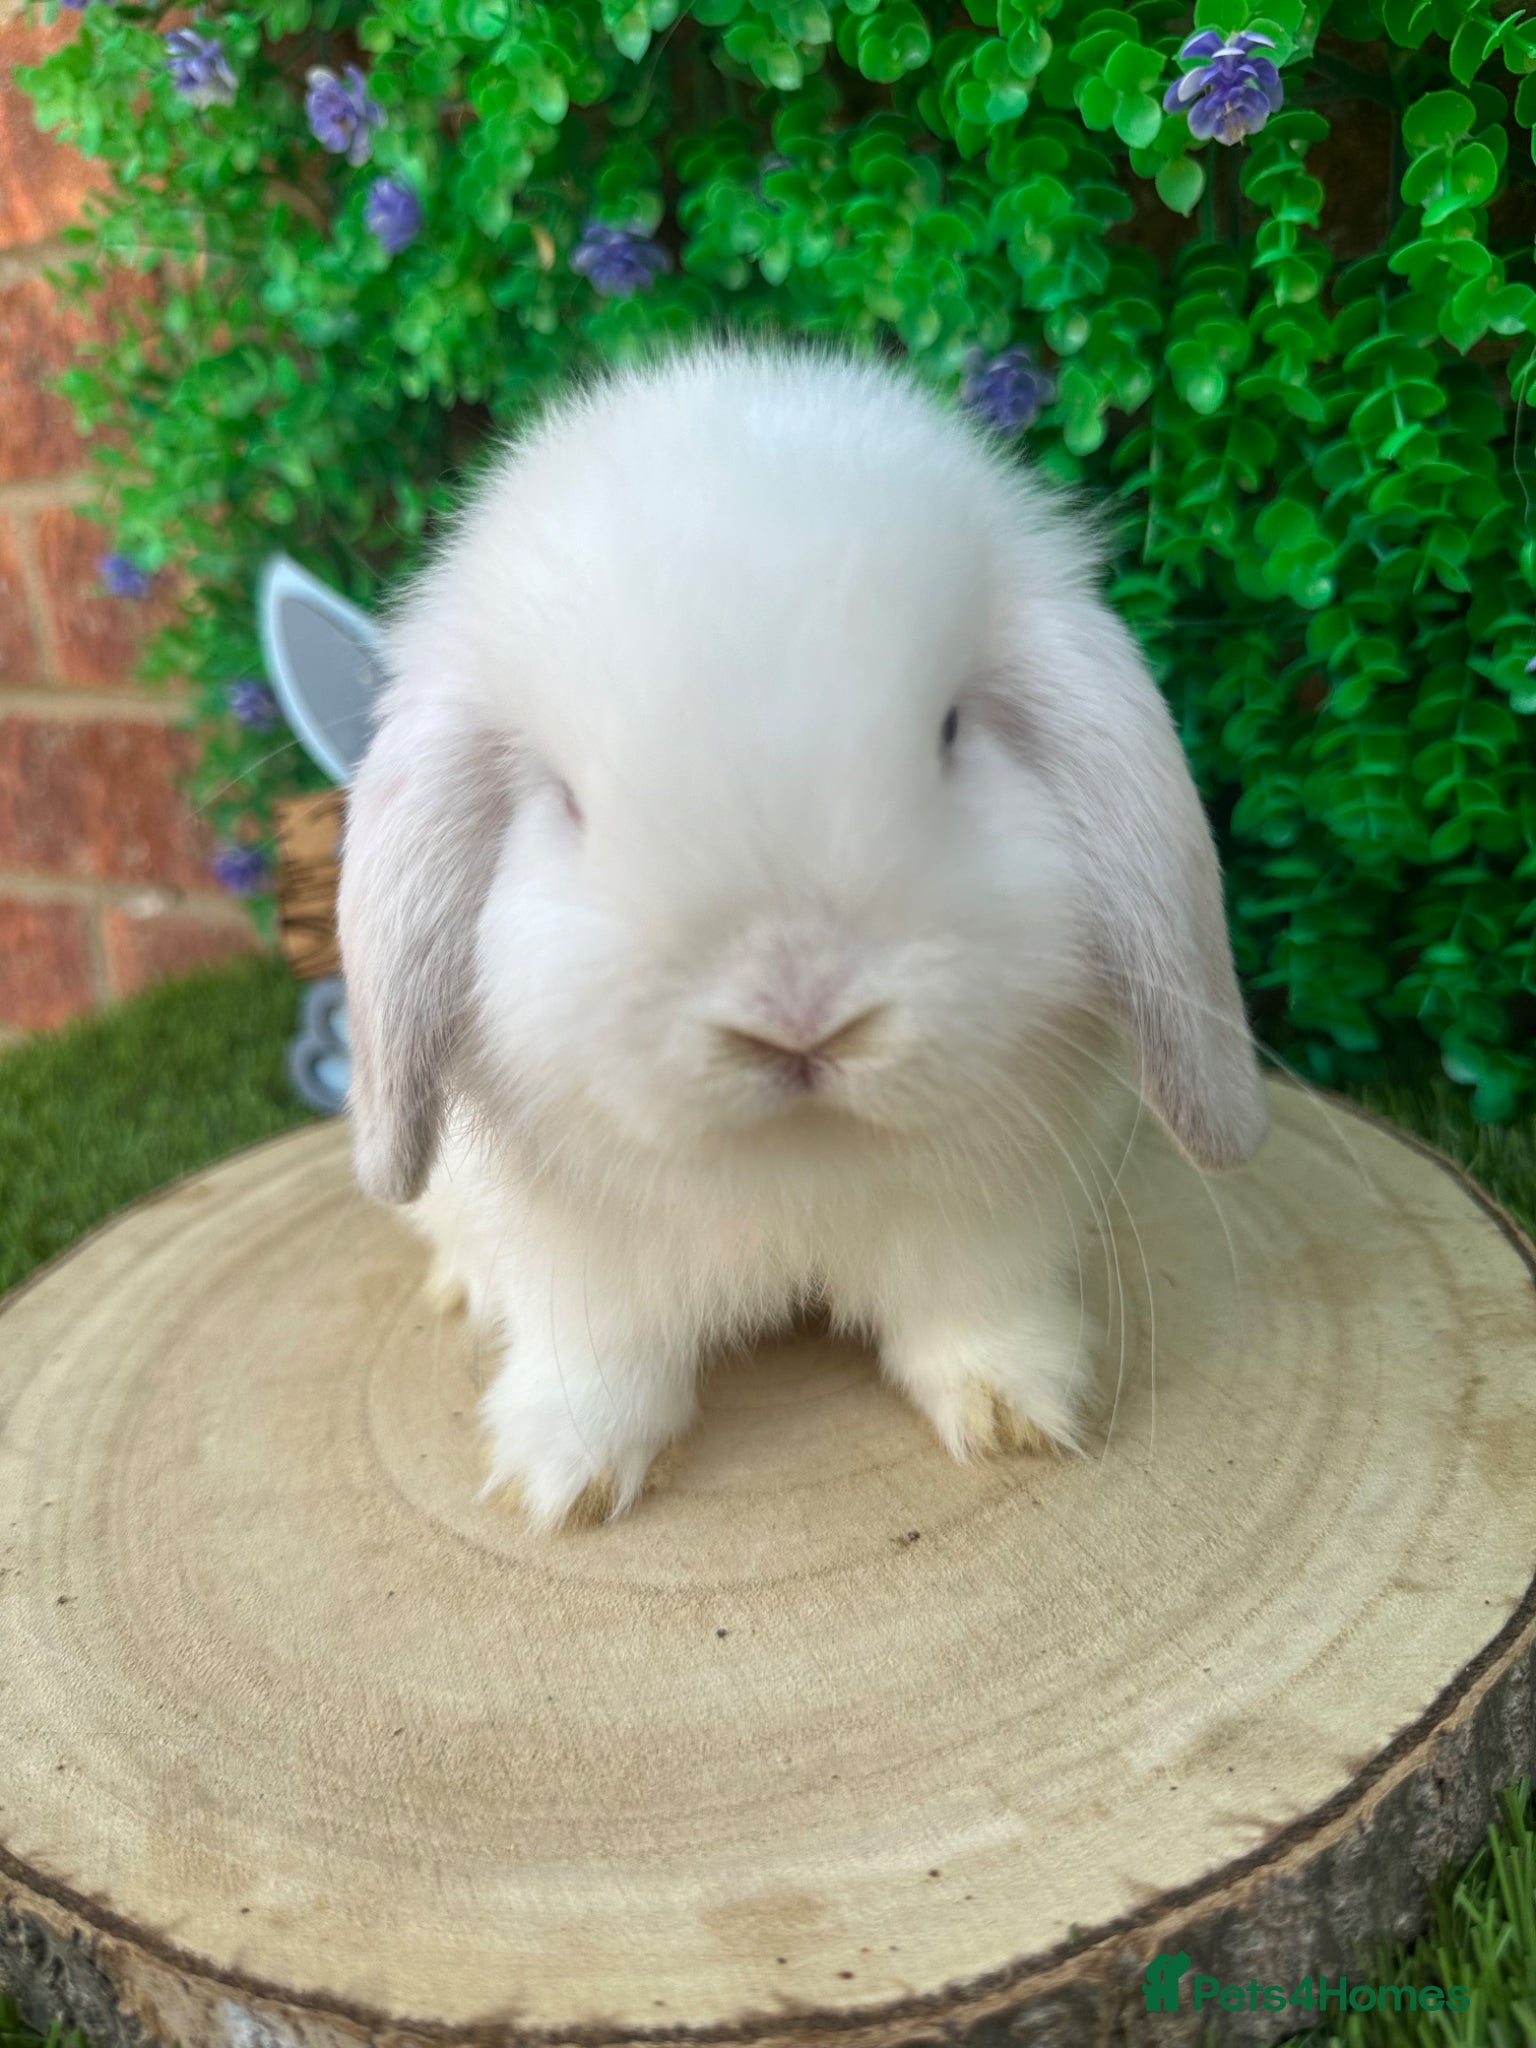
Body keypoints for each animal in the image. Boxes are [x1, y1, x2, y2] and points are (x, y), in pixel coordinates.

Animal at [336, 339, 1268, 1530]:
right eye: (567, 803)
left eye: (949, 733)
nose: (800, 1016)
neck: (795, 1160)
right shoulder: (579, 1263)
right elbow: (599, 1357)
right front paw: (564, 1480)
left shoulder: (986, 1224)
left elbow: (970, 1309)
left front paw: (1015, 1411)